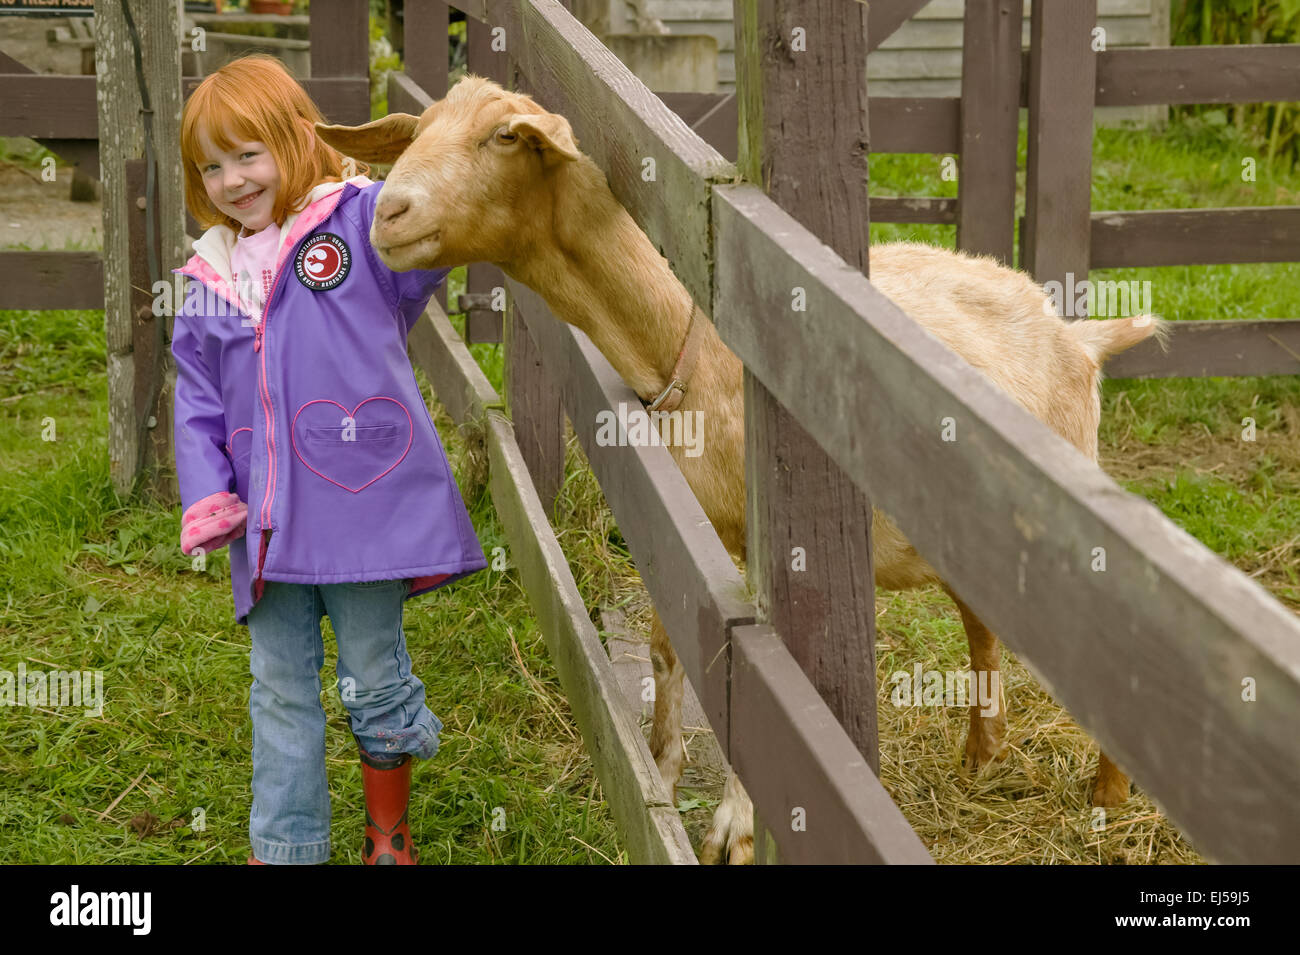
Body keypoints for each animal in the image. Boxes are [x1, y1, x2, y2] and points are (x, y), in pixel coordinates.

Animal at [319, 76, 1164, 867]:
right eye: (420, 130)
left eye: (502, 136)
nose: (389, 214)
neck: (686, 346)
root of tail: (1083, 336)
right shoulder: (678, 528)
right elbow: (669, 649)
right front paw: (660, 769)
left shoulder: (769, 557)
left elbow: (755, 692)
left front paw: (739, 823)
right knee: (983, 626)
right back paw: (981, 757)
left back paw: (1107, 793)